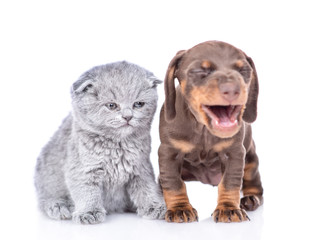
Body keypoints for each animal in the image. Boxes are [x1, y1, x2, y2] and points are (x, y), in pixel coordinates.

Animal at [34, 61, 165, 224]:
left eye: (138, 104)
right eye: (111, 105)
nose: (128, 117)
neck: (117, 145)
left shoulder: (141, 168)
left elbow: (147, 188)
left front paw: (155, 206)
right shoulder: (82, 169)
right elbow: (87, 191)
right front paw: (89, 212)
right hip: (47, 179)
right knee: (45, 199)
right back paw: (59, 206)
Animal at [158, 40, 262, 222]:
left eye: (243, 70)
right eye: (200, 71)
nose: (232, 90)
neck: (203, 130)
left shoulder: (234, 153)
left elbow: (230, 183)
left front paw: (228, 208)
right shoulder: (168, 153)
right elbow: (173, 183)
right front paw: (179, 208)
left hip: (251, 159)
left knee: (254, 184)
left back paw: (250, 199)